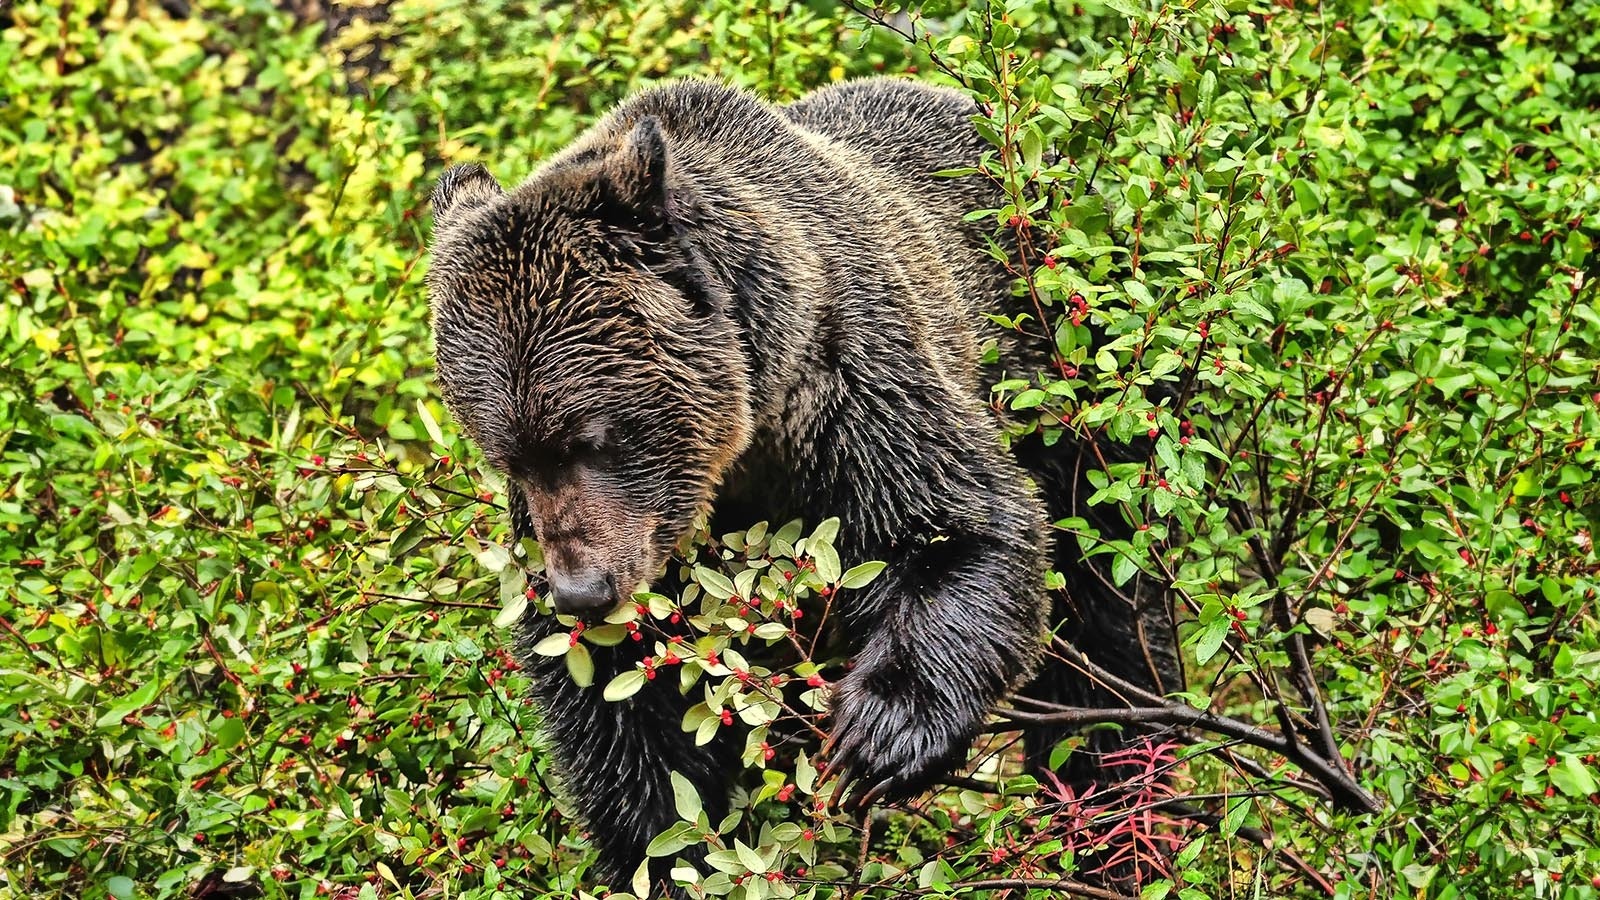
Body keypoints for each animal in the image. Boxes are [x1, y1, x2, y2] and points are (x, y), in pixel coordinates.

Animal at [432, 76, 1184, 890]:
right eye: (508, 457)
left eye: (589, 438)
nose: (582, 589)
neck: (749, 432)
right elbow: (620, 704)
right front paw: (661, 848)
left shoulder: (855, 388)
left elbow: (962, 526)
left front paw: (881, 736)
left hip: (1078, 381)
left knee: (1110, 619)